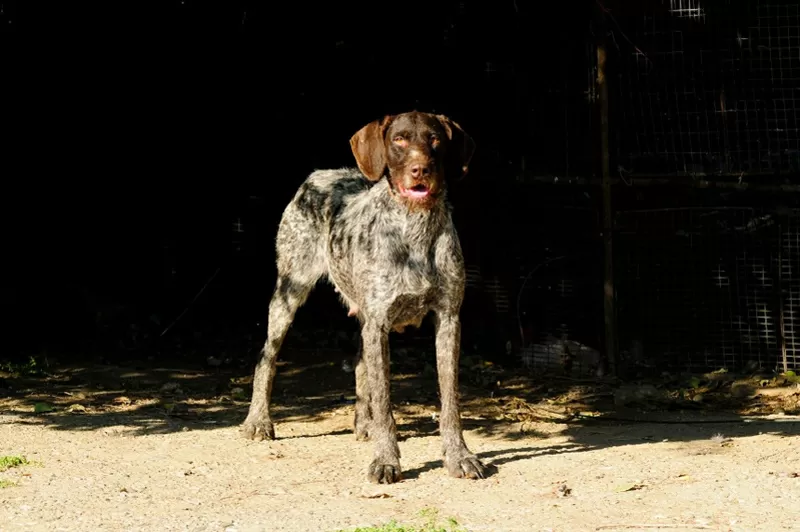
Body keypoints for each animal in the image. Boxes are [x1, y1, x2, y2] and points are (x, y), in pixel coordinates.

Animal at [241, 110, 488, 484]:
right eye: (398, 139)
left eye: (434, 139)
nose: (420, 169)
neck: (415, 230)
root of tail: (320, 174)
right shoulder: (379, 322)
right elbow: (385, 401)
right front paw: (386, 460)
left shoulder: (447, 320)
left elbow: (450, 401)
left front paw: (458, 455)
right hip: (289, 292)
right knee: (266, 358)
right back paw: (258, 420)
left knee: (360, 367)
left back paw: (363, 422)